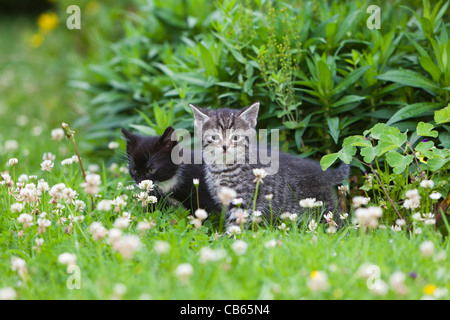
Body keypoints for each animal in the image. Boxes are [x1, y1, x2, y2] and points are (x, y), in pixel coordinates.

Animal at [189, 102, 348, 225]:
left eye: (235, 137)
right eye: (214, 137)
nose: (224, 147)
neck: (222, 168)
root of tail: (324, 173)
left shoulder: (243, 200)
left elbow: (237, 222)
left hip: (322, 206)